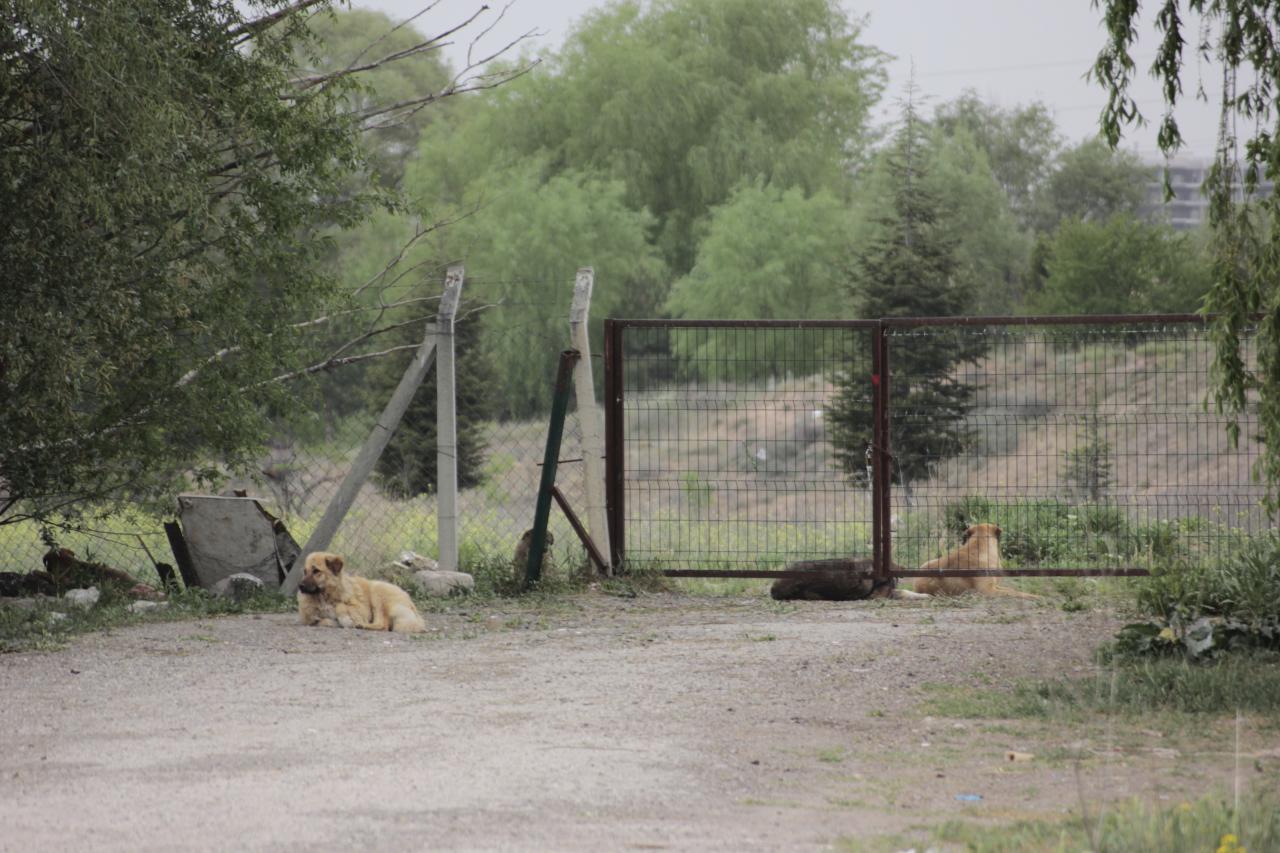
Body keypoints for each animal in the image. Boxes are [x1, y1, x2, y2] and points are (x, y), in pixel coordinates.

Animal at [294, 550, 424, 630]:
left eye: (316, 571)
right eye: (305, 571)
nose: (300, 586)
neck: (324, 597)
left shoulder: (362, 610)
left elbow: (340, 606)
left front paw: (346, 620)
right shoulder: (308, 619)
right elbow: (319, 620)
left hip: (377, 590)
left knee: (383, 625)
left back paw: (363, 625)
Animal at [911, 517, 1039, 596]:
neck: (980, 548)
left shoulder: (995, 587)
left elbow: (1012, 590)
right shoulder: (987, 591)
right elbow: (1015, 593)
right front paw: (1036, 597)